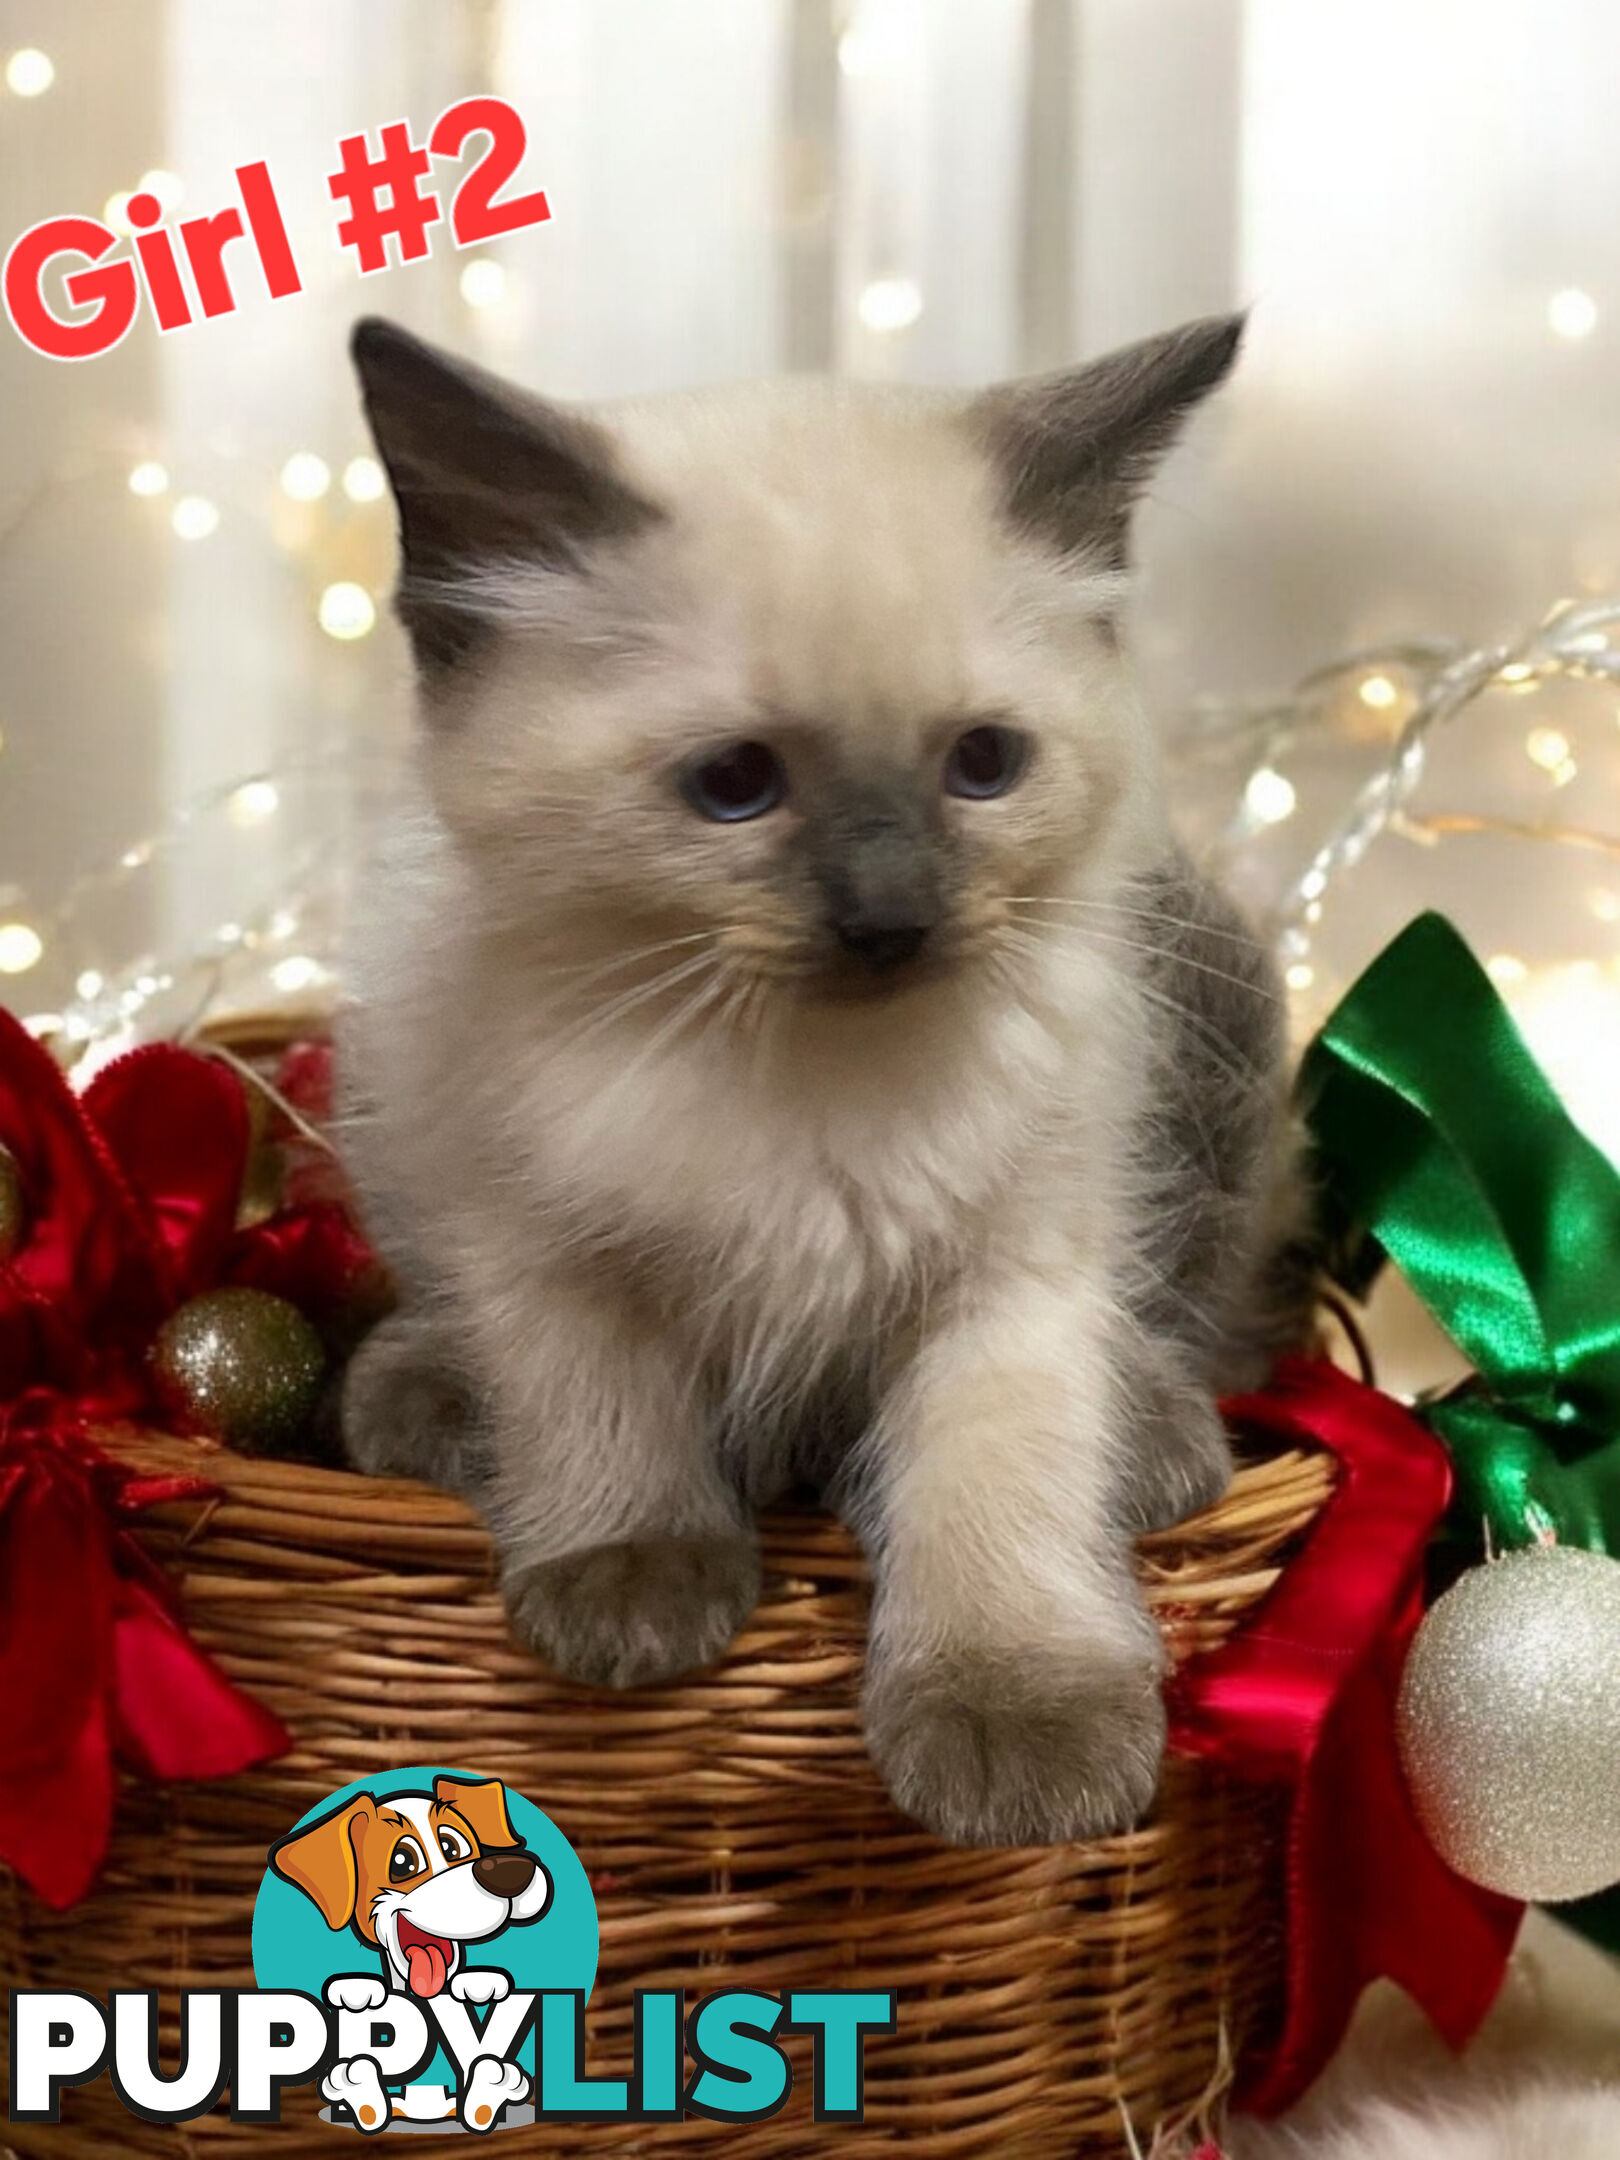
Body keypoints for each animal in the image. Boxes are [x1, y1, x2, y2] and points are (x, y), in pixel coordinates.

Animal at [345, 313, 1304, 1848]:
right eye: (735, 784)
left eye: (984, 763)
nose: (890, 920)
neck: (806, 1083)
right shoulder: (538, 1225)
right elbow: (594, 1399)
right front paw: (631, 1580)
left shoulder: (1011, 1270)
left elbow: (998, 1473)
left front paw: (1016, 1722)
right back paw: (421, 1399)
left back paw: (1158, 1439)